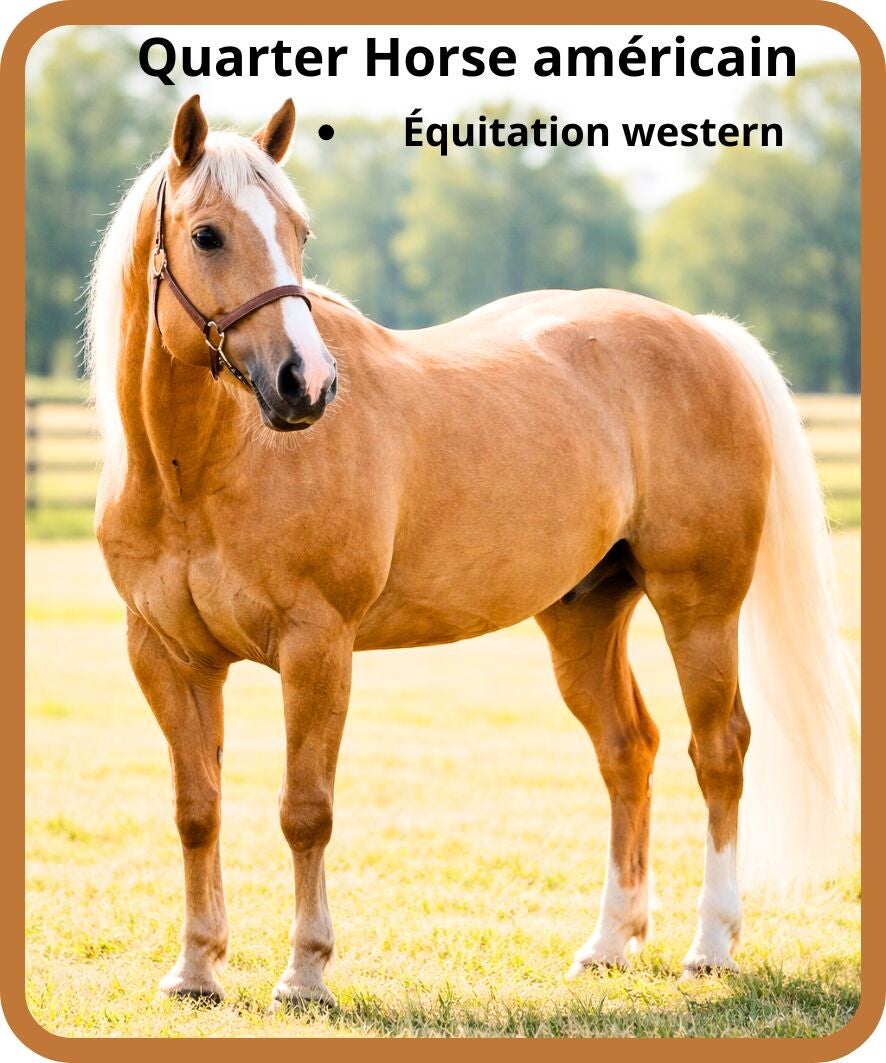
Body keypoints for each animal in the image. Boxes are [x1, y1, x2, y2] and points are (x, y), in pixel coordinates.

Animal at [88, 95, 858, 1008]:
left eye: (299, 232)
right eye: (206, 234)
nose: (306, 384)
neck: (202, 468)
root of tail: (703, 335)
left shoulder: (317, 648)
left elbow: (305, 810)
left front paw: (306, 972)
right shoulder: (167, 657)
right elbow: (196, 808)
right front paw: (196, 968)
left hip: (698, 605)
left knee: (719, 752)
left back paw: (711, 944)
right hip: (584, 615)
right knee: (627, 750)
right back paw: (609, 941)